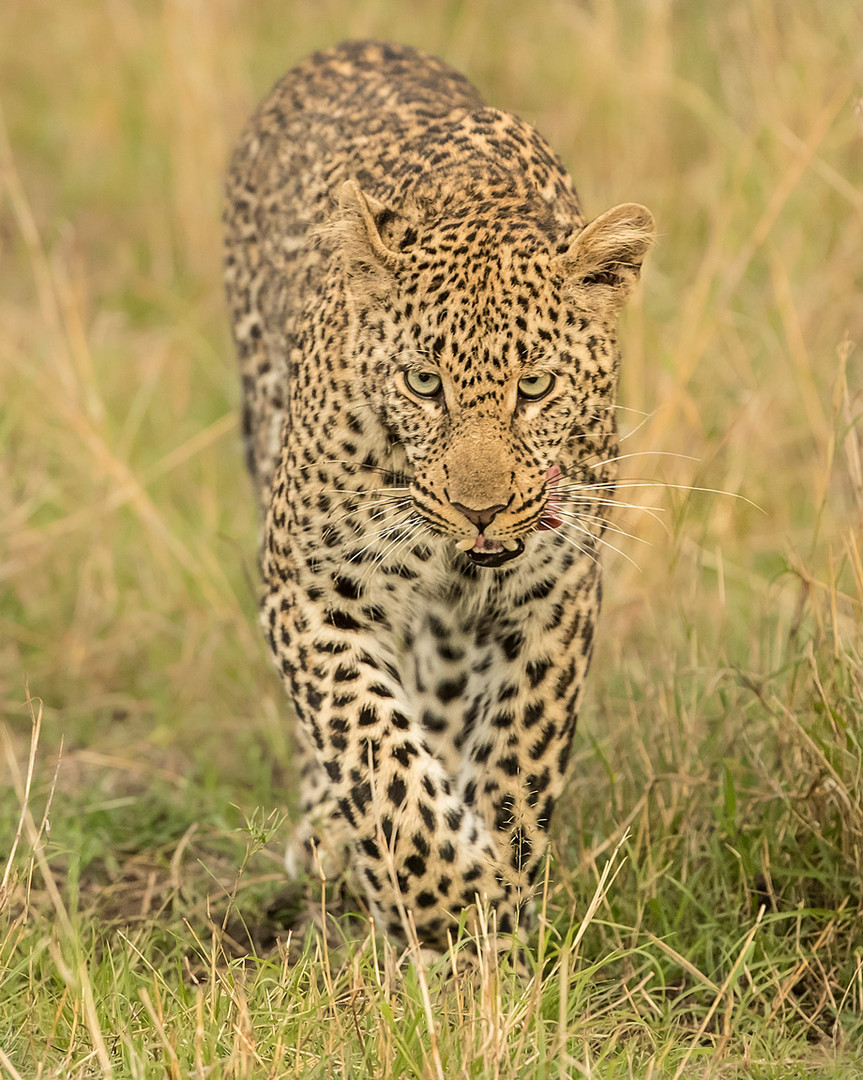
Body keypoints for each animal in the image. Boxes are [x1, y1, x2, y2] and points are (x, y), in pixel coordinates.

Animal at [224, 39, 656, 954]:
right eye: (424, 384)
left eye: (536, 386)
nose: (480, 509)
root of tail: (355, 43)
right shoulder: (310, 588)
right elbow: (372, 754)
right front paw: (444, 913)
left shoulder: (553, 598)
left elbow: (516, 766)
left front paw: (498, 919)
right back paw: (329, 835)